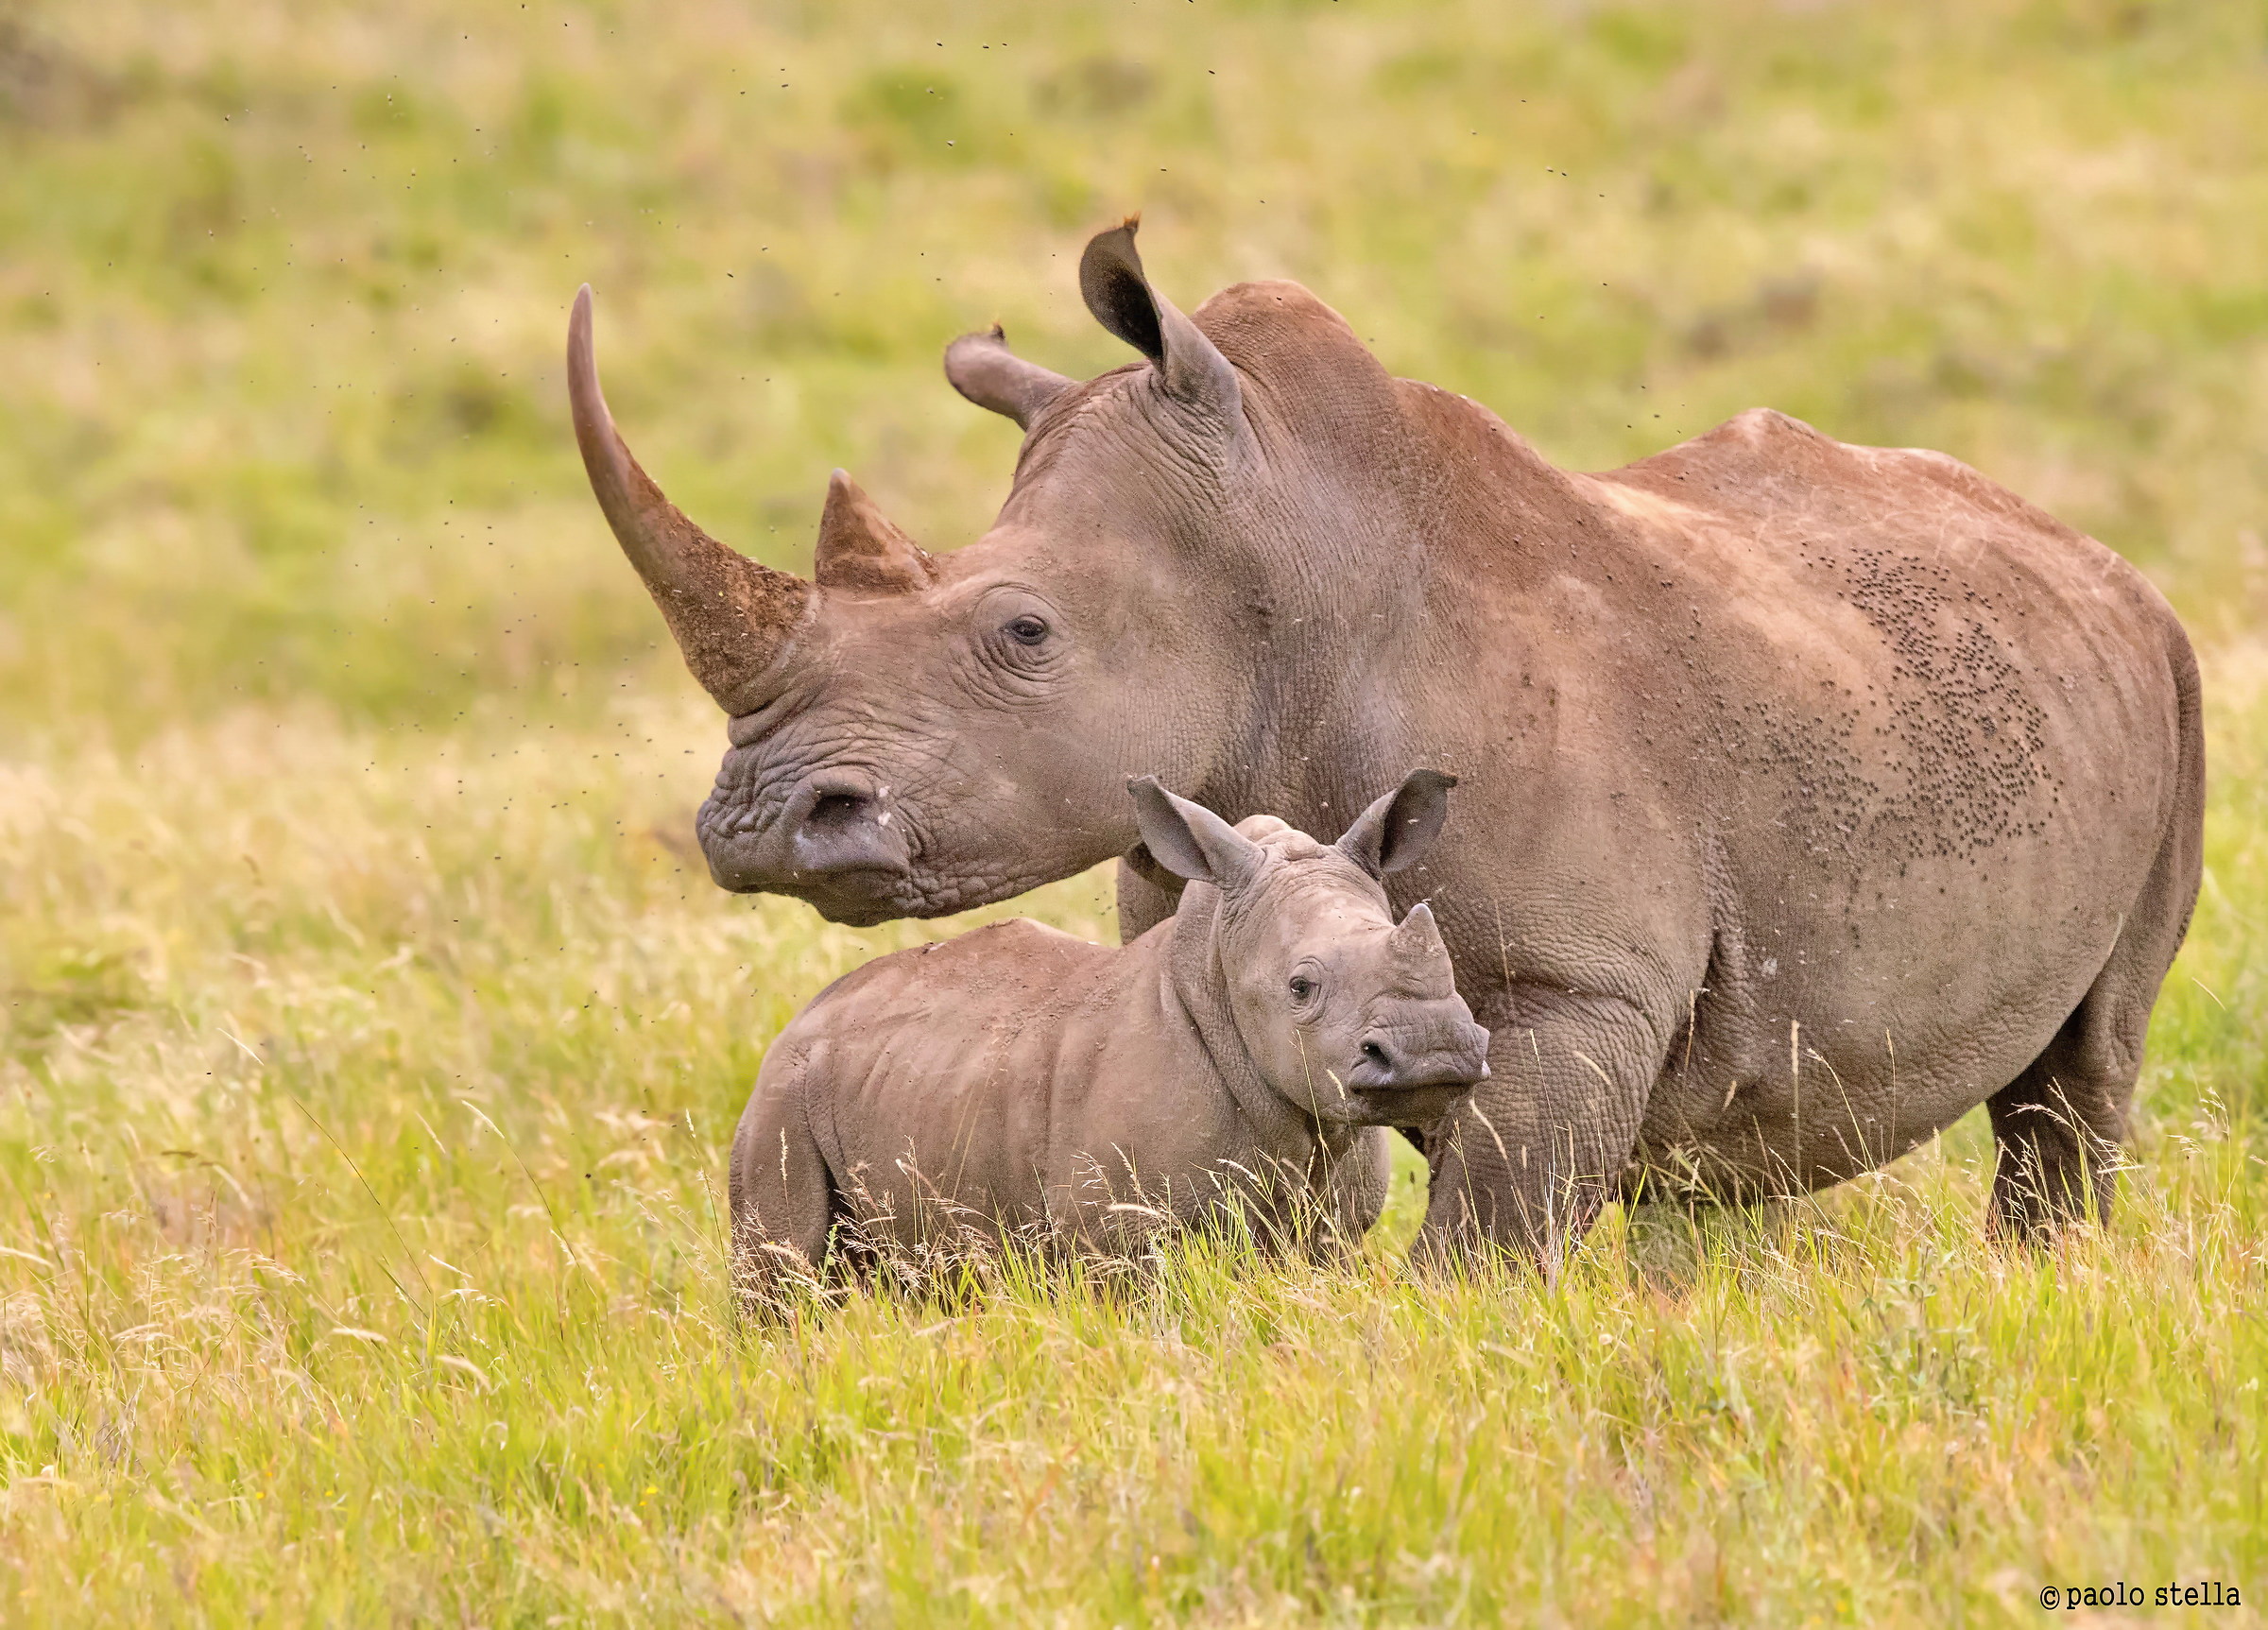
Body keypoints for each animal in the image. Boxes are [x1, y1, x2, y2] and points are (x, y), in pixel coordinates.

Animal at [727, 770, 1490, 1297]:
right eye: (1301, 988)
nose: (1434, 1048)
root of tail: (801, 1018)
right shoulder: (1115, 1235)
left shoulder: (1330, 1230)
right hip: (783, 1095)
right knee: (781, 1274)